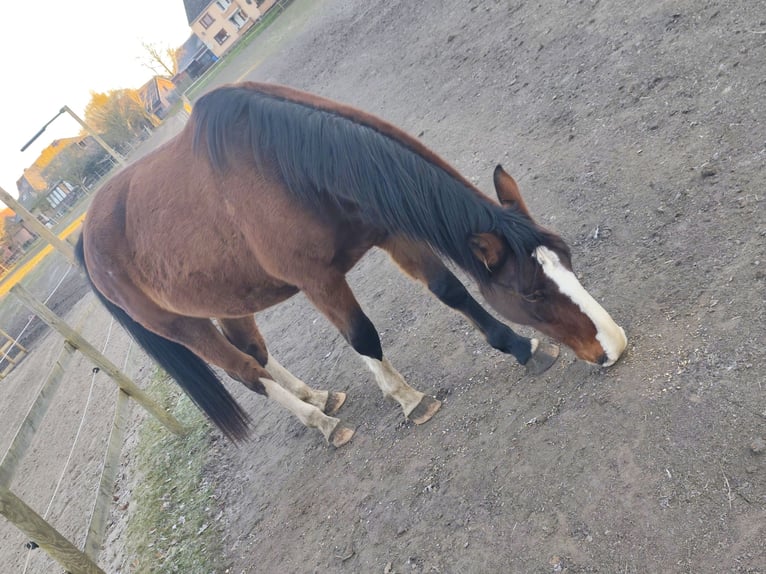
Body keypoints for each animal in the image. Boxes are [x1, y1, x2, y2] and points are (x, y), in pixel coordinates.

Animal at [75, 82, 627, 446]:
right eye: (532, 293)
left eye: (568, 259)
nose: (613, 345)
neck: (281, 166)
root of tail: (86, 240)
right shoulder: (317, 280)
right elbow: (363, 336)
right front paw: (408, 399)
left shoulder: (392, 231)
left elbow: (451, 291)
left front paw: (521, 348)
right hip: (182, 327)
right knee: (244, 372)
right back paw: (321, 422)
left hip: (229, 298)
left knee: (254, 353)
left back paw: (318, 398)